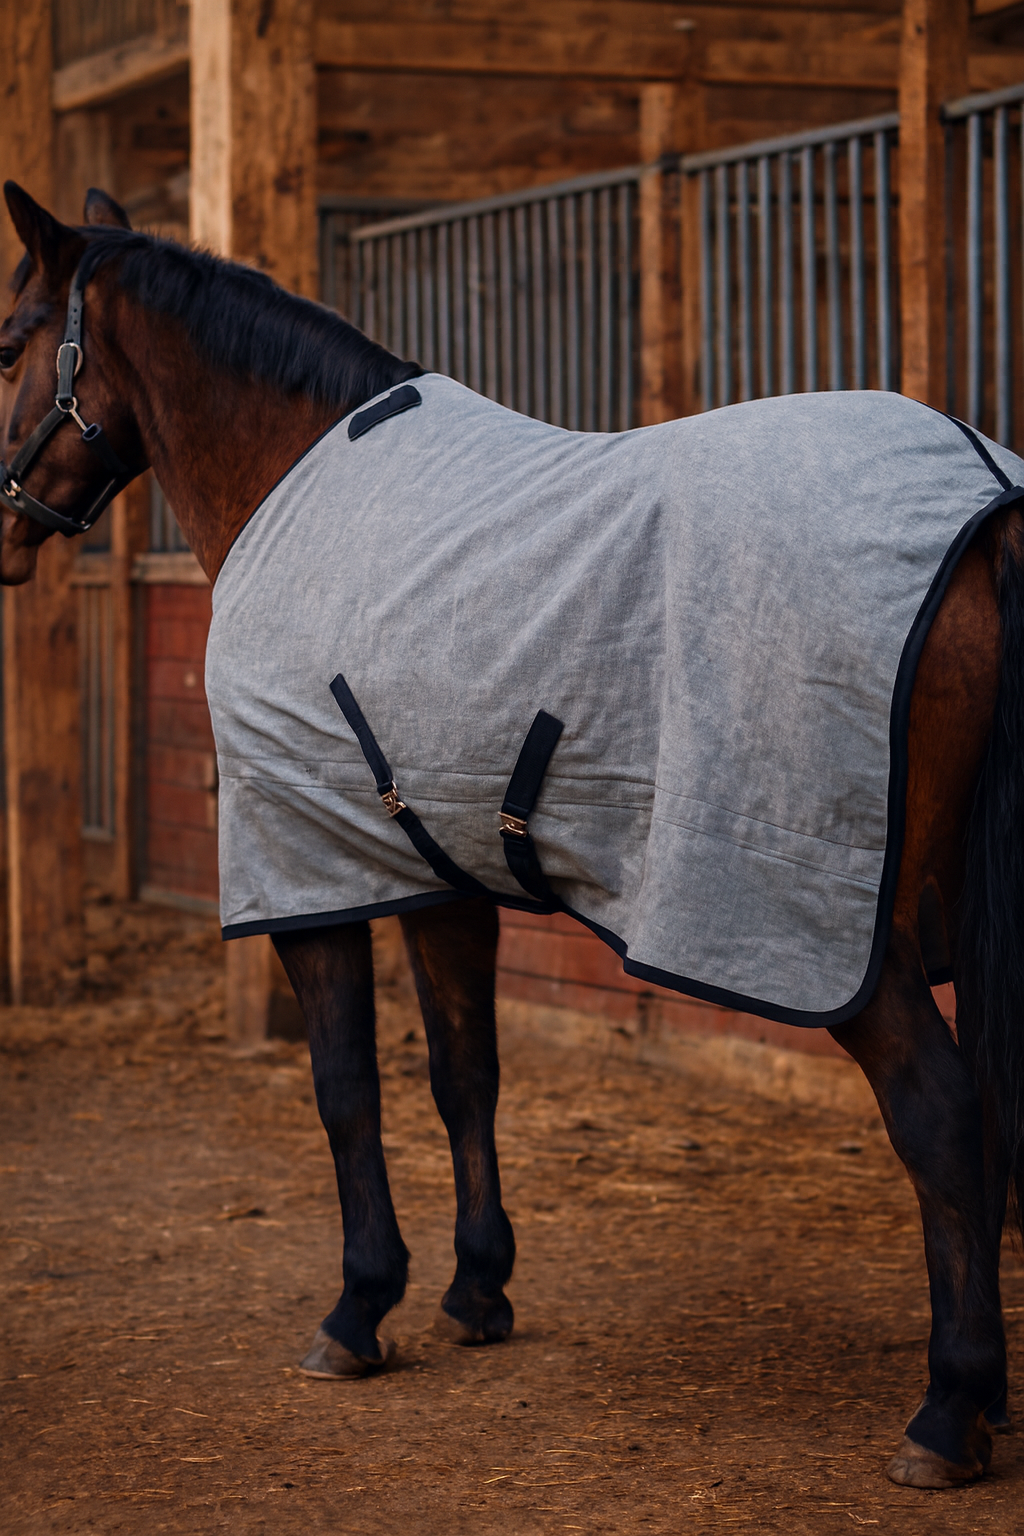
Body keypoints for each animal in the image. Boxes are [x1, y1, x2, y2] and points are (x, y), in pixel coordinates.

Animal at [1, 180, 1021, 1494]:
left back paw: (947, 1414)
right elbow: (463, 1072)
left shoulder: (306, 864)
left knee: (942, 1121)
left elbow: (343, 1088)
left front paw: (356, 1311)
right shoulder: (437, 865)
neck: (296, 484)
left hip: (843, 940)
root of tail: (984, 501)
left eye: (10, 343)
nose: (0, 532)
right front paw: (476, 1291)